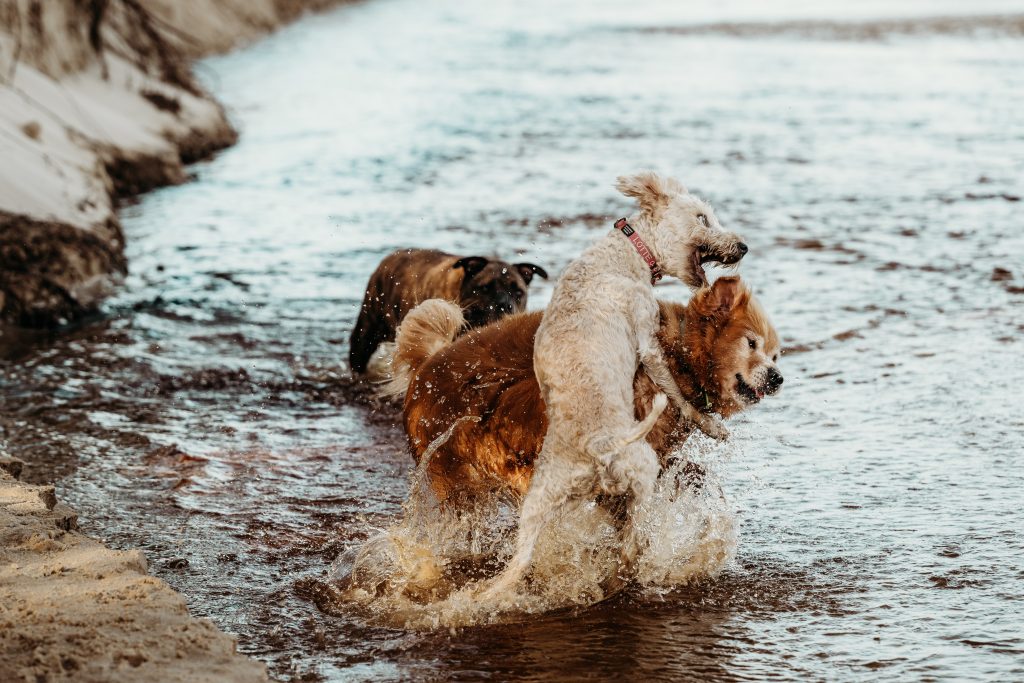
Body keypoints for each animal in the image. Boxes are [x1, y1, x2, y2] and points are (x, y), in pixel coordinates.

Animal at [475, 174, 749, 602]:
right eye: (703, 217)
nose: (743, 246)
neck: (624, 252)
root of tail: (595, 449)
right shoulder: (647, 337)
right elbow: (678, 395)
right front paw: (710, 424)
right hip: (643, 467)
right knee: (637, 530)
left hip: (539, 505)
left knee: (518, 567)